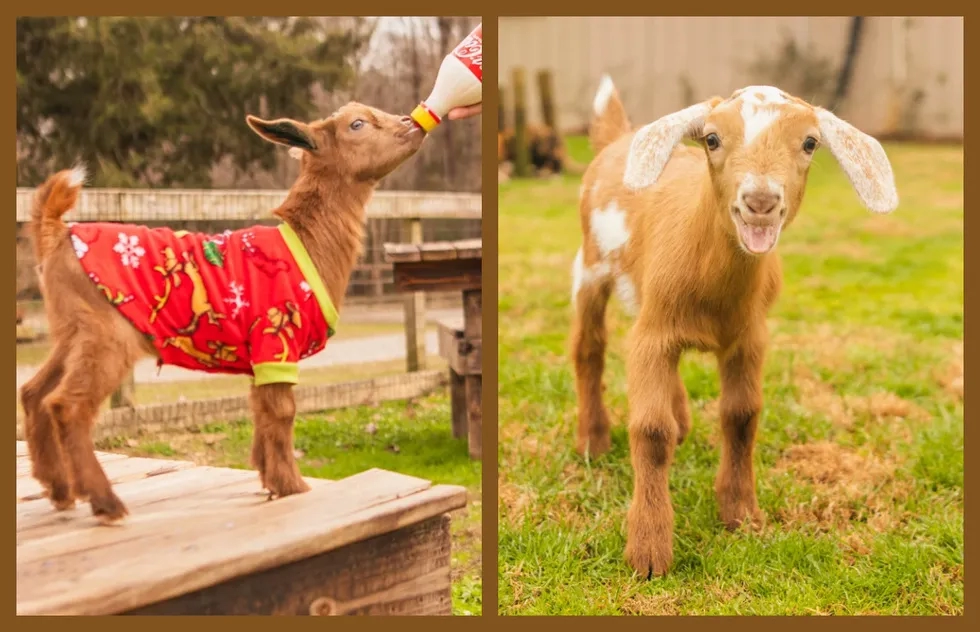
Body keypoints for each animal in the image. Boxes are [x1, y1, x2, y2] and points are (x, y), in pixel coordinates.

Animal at [21, 102, 425, 522]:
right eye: (357, 124)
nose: (411, 123)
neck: (306, 245)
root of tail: (56, 234)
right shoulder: (274, 338)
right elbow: (282, 413)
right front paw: (294, 487)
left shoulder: (261, 357)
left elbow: (261, 413)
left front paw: (271, 481)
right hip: (107, 331)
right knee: (67, 405)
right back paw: (105, 502)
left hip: (73, 327)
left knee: (34, 392)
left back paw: (59, 490)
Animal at [571, 76, 898, 578]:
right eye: (711, 139)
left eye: (809, 142)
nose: (760, 201)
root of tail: (617, 140)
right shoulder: (651, 335)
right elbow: (650, 430)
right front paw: (648, 553)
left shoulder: (749, 338)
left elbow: (742, 416)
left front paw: (741, 514)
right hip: (589, 267)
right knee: (589, 347)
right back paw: (593, 440)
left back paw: (680, 418)